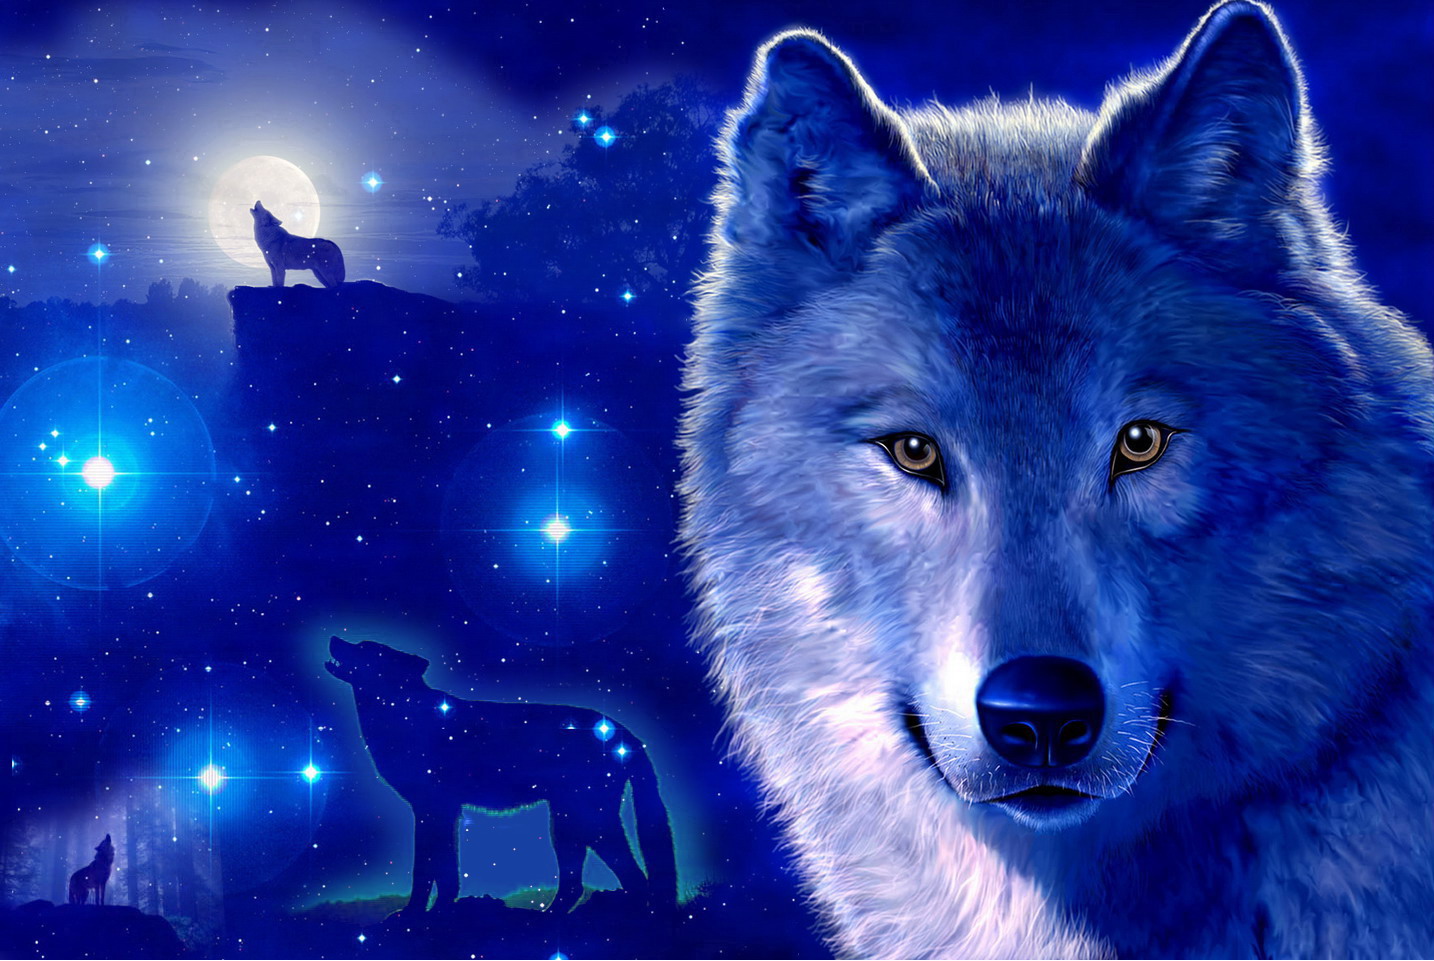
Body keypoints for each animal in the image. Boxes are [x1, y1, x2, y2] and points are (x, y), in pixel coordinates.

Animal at [325, 637, 676, 915]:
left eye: (365, 648)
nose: (333, 638)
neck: (402, 714)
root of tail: (625, 733)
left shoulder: (430, 808)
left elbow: (424, 869)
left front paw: (412, 915)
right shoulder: (445, 810)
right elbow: (447, 872)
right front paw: (441, 911)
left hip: (588, 821)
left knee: (633, 878)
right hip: (565, 824)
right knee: (577, 884)